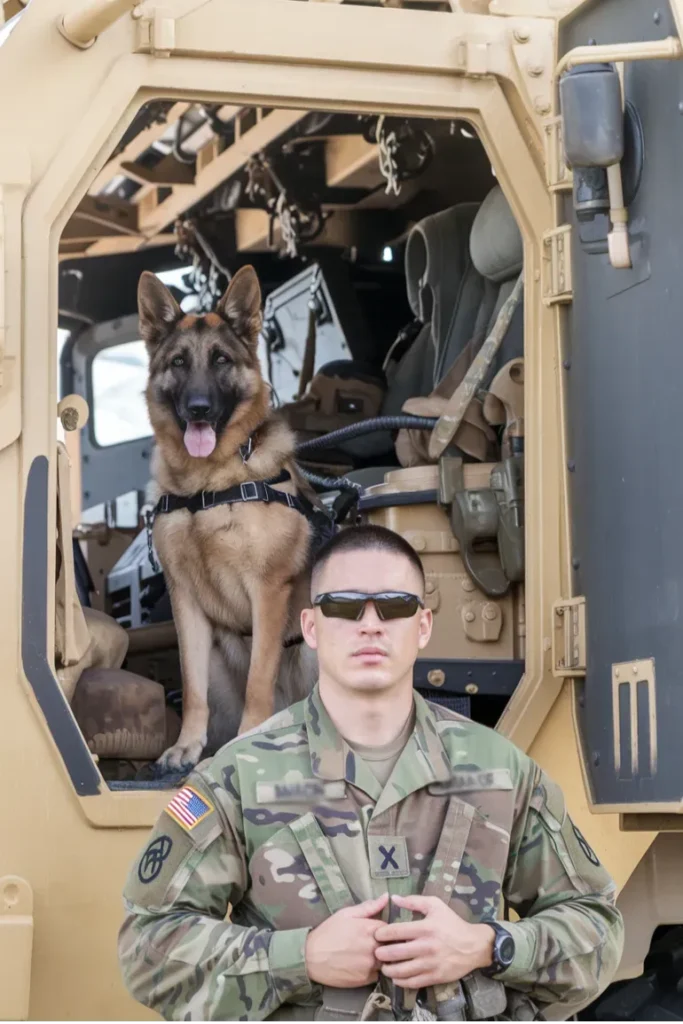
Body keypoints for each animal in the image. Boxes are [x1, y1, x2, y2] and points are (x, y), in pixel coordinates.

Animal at [141, 264, 321, 770]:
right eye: (179, 363)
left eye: (221, 360)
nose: (198, 409)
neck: (208, 485)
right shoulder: (184, 602)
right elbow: (192, 687)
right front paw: (187, 745)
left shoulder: (268, 591)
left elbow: (259, 680)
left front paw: (248, 739)